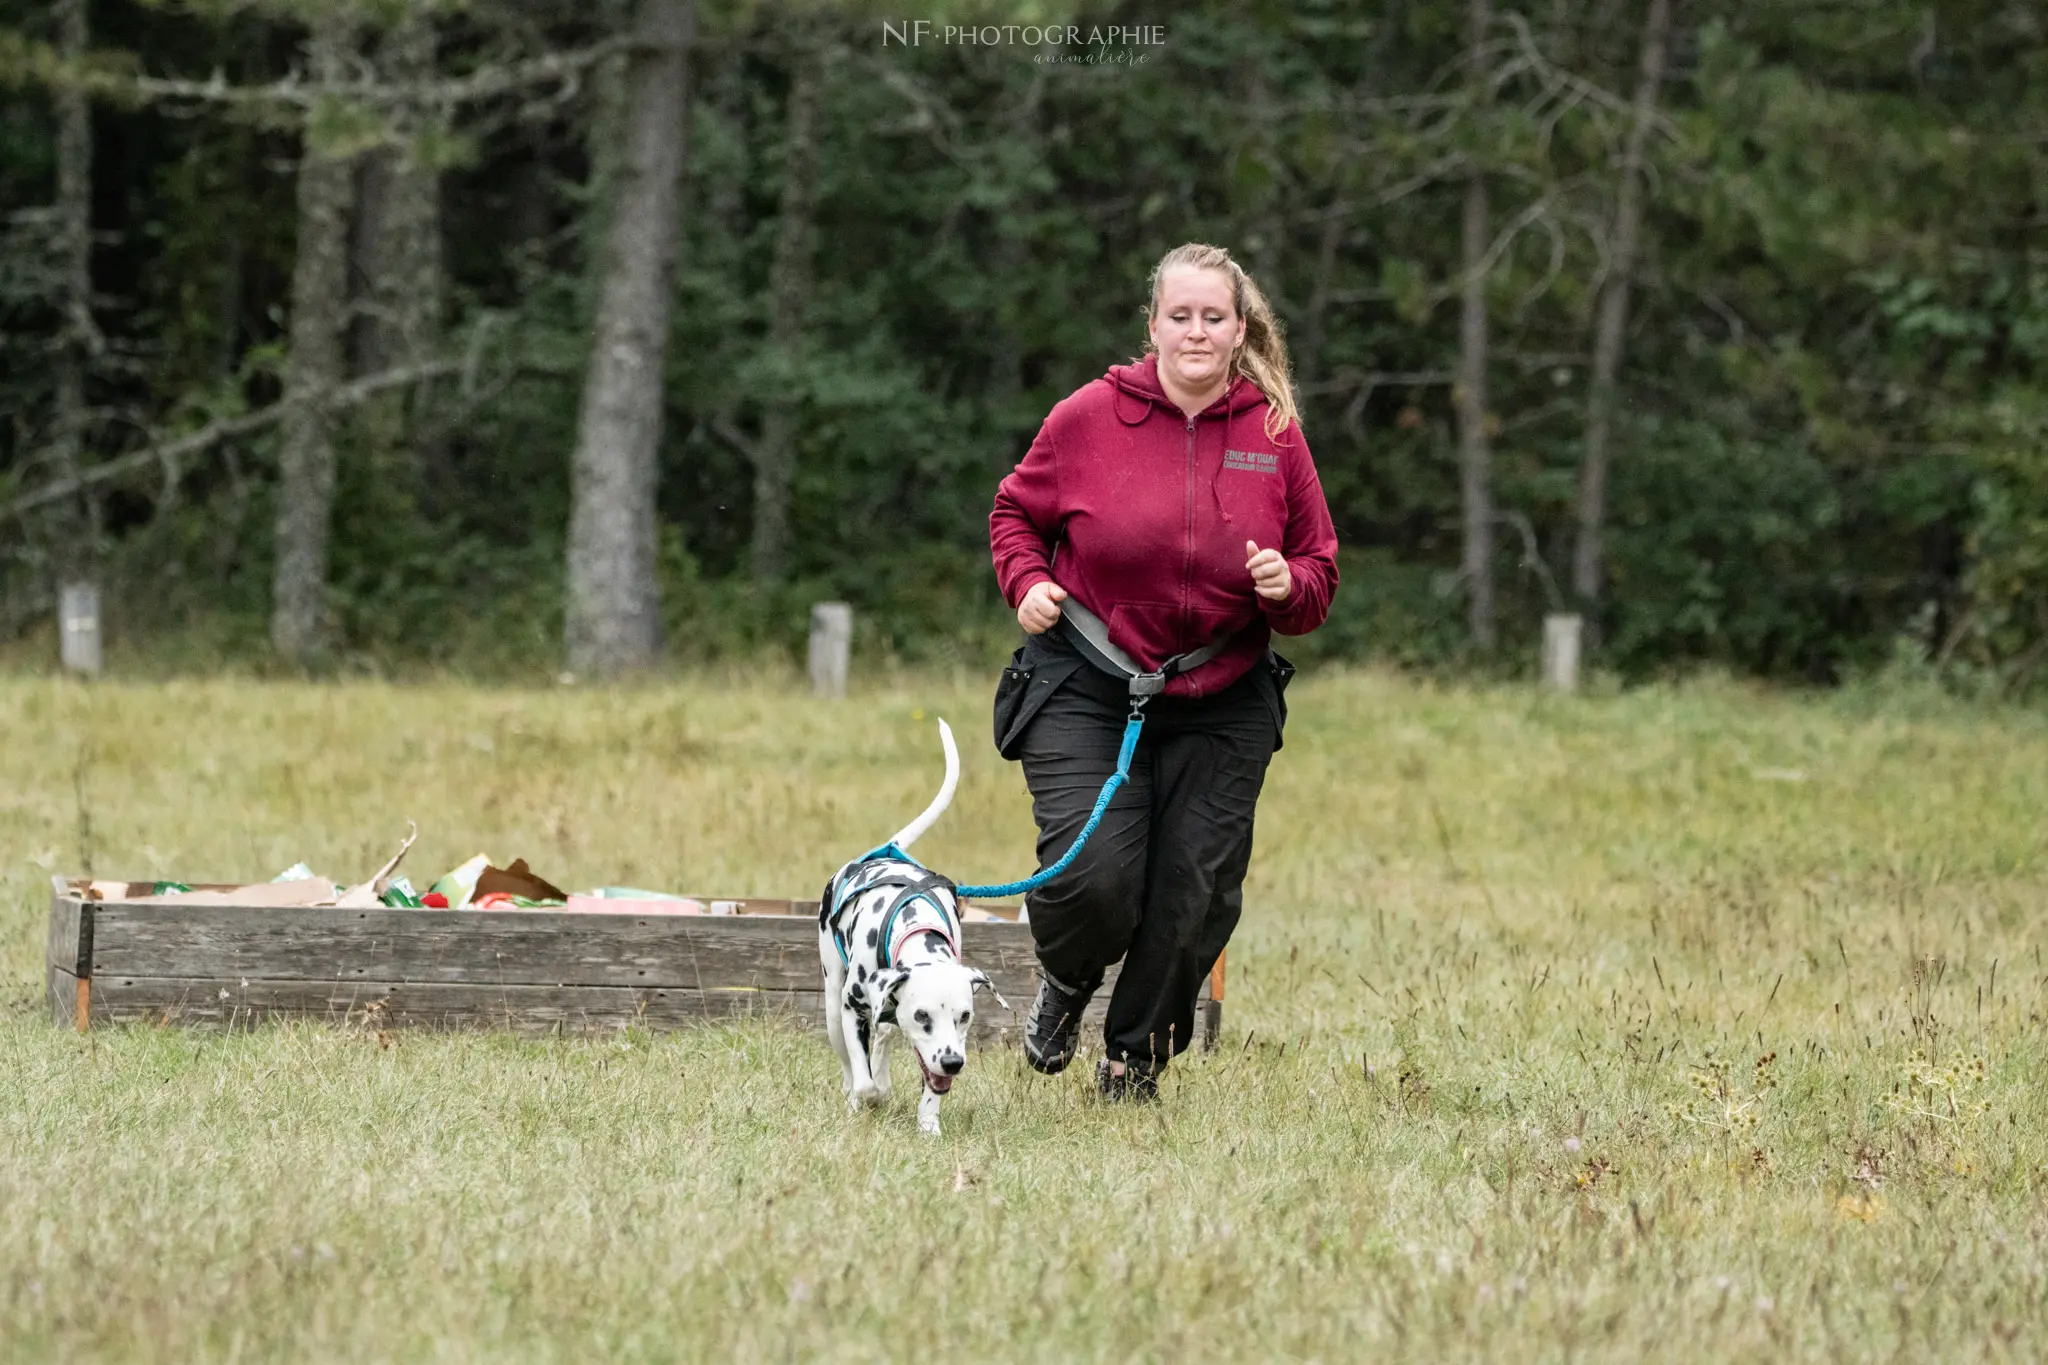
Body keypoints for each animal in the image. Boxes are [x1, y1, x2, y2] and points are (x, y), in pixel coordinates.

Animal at [815, 720, 1007, 1137]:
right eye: (922, 1016)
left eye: (964, 1016)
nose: (953, 1063)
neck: (914, 925)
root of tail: (886, 850)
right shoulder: (854, 1009)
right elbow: (865, 1081)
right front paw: (870, 1098)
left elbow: (929, 1088)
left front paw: (928, 1125)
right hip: (833, 1000)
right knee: (848, 1062)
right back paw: (855, 1095)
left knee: (885, 1035)